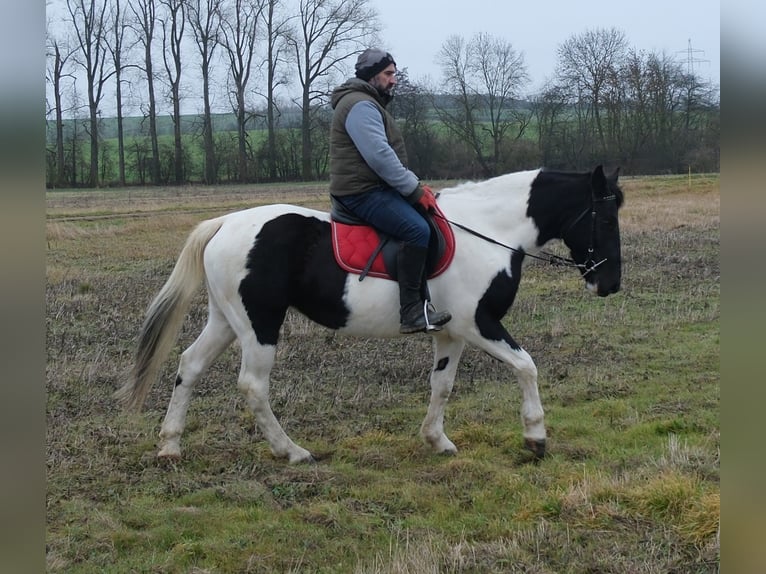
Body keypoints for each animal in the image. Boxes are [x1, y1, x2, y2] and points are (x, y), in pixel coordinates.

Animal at [116, 165, 623, 463]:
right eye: (603, 216)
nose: (610, 283)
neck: (488, 230)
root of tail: (225, 223)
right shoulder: (478, 324)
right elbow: (526, 366)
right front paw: (536, 438)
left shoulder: (451, 333)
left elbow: (442, 385)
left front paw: (436, 440)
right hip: (259, 325)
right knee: (252, 386)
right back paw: (292, 451)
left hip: (226, 321)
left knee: (189, 365)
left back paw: (170, 445)